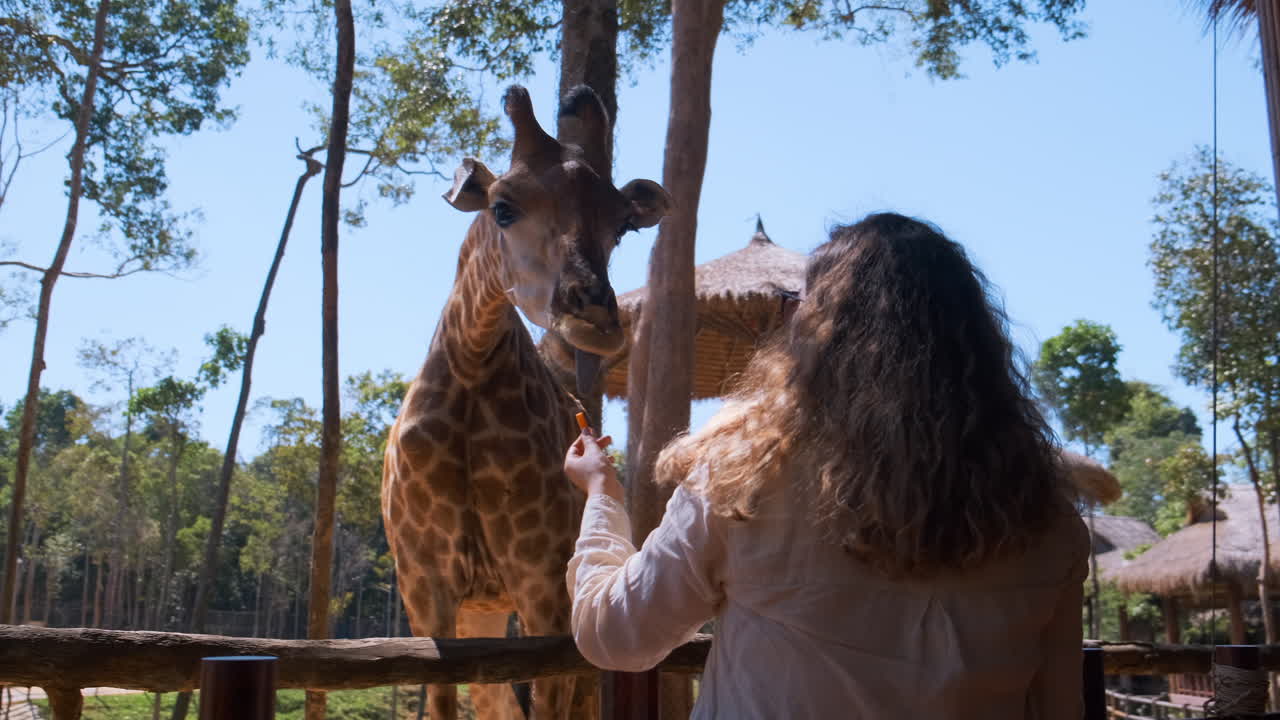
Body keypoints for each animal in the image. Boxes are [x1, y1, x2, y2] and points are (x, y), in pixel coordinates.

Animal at [382, 84, 671, 720]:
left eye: (623, 224)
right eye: (502, 207)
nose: (596, 318)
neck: (470, 367)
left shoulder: (542, 585)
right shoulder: (426, 591)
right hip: (482, 610)